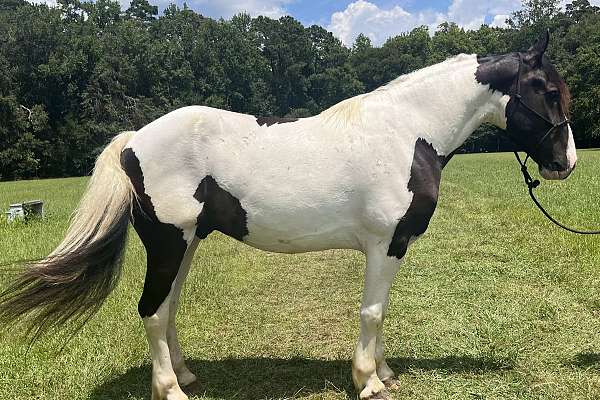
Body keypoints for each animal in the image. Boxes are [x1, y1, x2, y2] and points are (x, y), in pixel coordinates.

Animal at [0, 32, 576, 400]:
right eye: (548, 91)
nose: (566, 163)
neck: (407, 132)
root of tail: (133, 140)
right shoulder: (383, 244)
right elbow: (372, 312)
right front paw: (369, 381)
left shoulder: (392, 249)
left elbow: (381, 312)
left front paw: (385, 372)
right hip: (168, 243)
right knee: (152, 311)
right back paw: (170, 390)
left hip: (186, 245)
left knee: (168, 309)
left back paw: (185, 377)